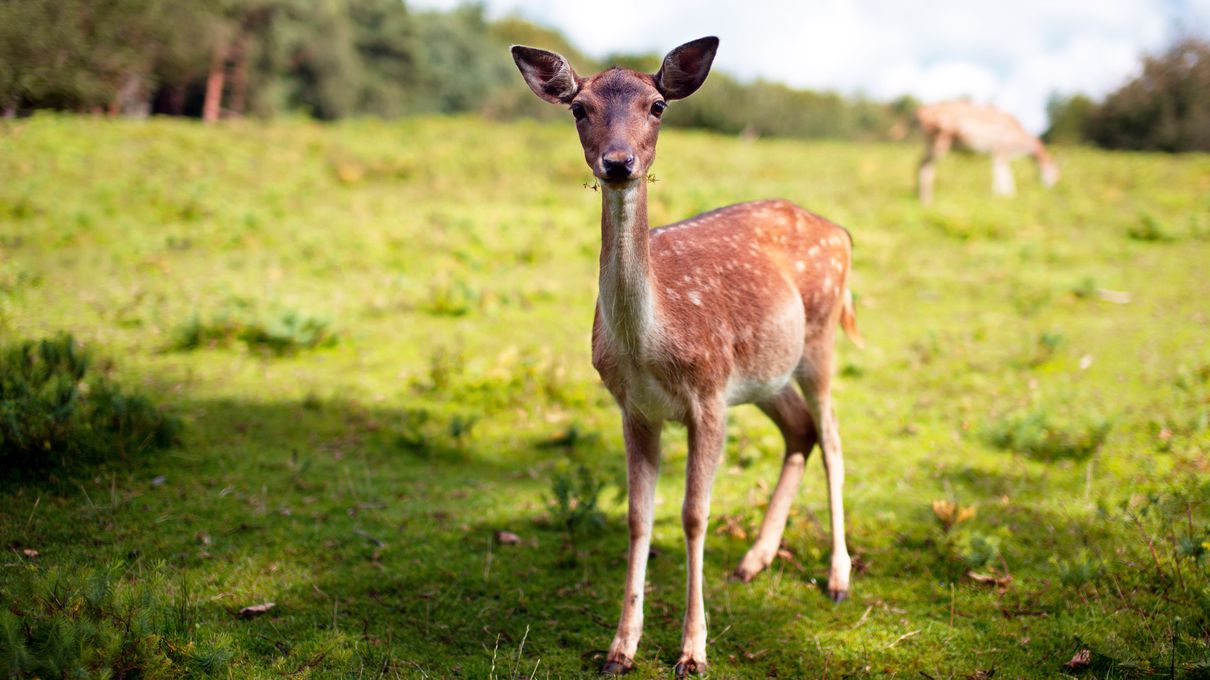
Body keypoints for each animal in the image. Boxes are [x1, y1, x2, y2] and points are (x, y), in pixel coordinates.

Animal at [511, 37, 862, 676]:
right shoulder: (634, 408)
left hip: (820, 339)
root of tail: (842, 232)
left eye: (657, 106)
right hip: (766, 375)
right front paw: (620, 649)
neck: (649, 347)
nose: (618, 162)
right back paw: (753, 561)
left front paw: (693, 651)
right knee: (800, 431)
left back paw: (838, 578)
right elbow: (637, 515)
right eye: (578, 107)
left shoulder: (708, 395)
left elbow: (694, 515)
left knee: (832, 440)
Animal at [916, 100, 1059, 204]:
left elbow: (1003, 174)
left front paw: (1004, 196)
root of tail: (921, 110)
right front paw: (1004, 196)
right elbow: (1003, 175)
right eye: (1053, 173)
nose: (1051, 188)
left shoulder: (999, 154)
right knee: (924, 166)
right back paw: (926, 200)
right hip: (937, 142)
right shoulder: (1000, 150)